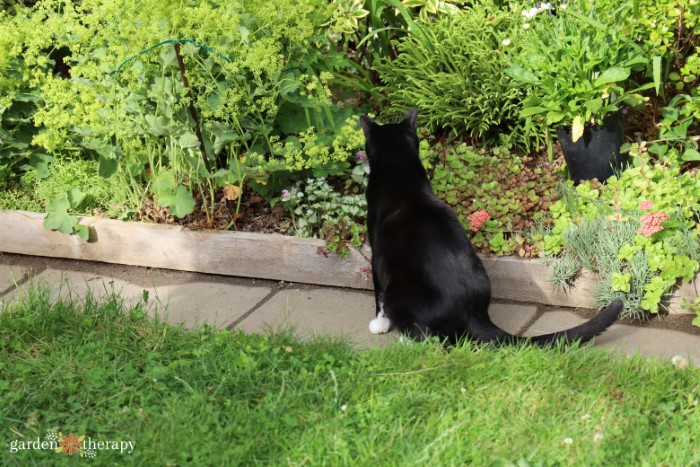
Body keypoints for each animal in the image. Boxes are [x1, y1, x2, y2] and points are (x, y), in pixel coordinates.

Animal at [360, 109, 624, 344]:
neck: (399, 170)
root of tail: (473, 313)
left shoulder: (376, 254)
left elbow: (377, 294)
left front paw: (378, 325)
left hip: (399, 291)